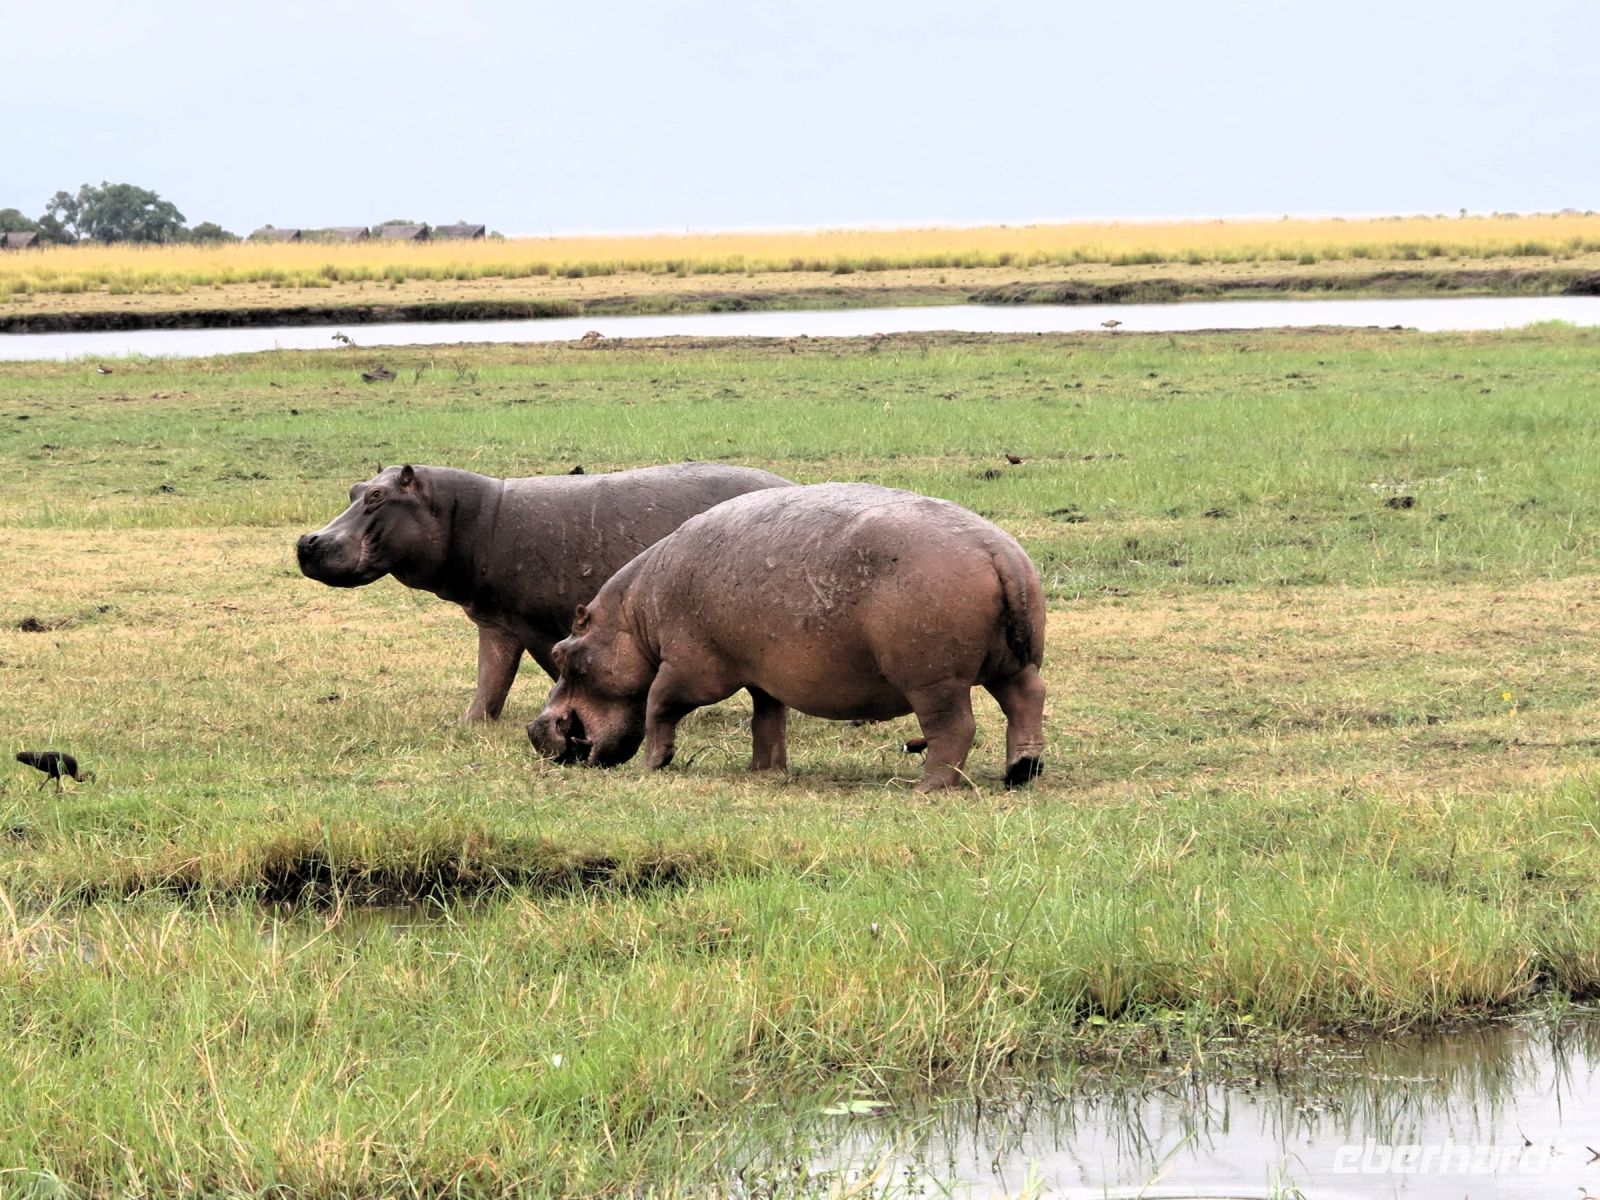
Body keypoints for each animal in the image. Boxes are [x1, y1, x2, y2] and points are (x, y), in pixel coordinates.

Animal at [296, 462, 792, 722]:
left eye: (378, 497)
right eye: (355, 488)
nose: (307, 541)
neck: (465, 515)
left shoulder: (535, 625)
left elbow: (553, 673)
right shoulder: (496, 622)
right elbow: (490, 680)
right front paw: (469, 724)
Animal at [527, 483, 1046, 790]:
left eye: (562, 652)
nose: (535, 730)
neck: (632, 618)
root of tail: (996, 550)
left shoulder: (691, 669)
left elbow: (658, 704)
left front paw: (654, 765)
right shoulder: (763, 676)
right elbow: (767, 720)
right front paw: (765, 770)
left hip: (933, 681)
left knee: (954, 727)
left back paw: (928, 787)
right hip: (1010, 665)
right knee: (1026, 701)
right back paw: (1020, 772)